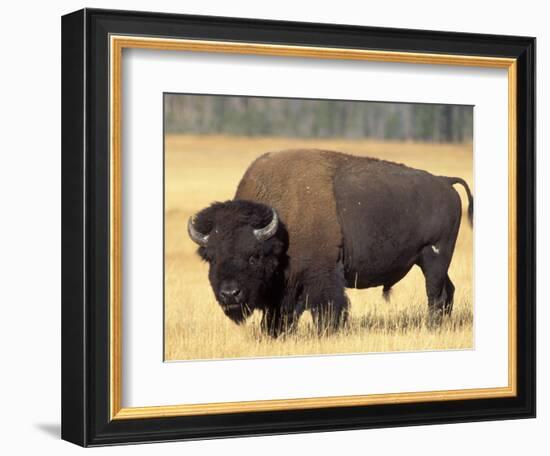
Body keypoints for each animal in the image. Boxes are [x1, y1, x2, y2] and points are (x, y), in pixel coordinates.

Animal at [188, 149, 472, 334]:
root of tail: (445, 182)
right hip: (430, 260)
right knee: (448, 290)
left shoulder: (321, 276)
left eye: (253, 256)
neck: (282, 225)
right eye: (211, 257)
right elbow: (280, 315)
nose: (230, 293)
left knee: (435, 294)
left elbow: (327, 308)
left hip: (434, 256)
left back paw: (432, 327)